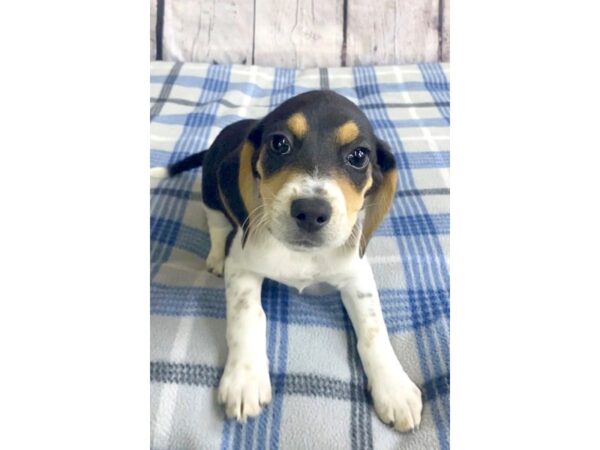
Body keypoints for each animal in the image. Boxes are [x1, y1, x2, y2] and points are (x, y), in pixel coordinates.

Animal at [150, 91, 422, 432]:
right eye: (279, 144)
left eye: (359, 156)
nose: (311, 211)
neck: (301, 255)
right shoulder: (242, 266)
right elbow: (248, 316)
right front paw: (245, 379)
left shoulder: (357, 274)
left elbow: (373, 329)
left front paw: (395, 388)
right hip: (211, 188)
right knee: (216, 225)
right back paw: (215, 257)